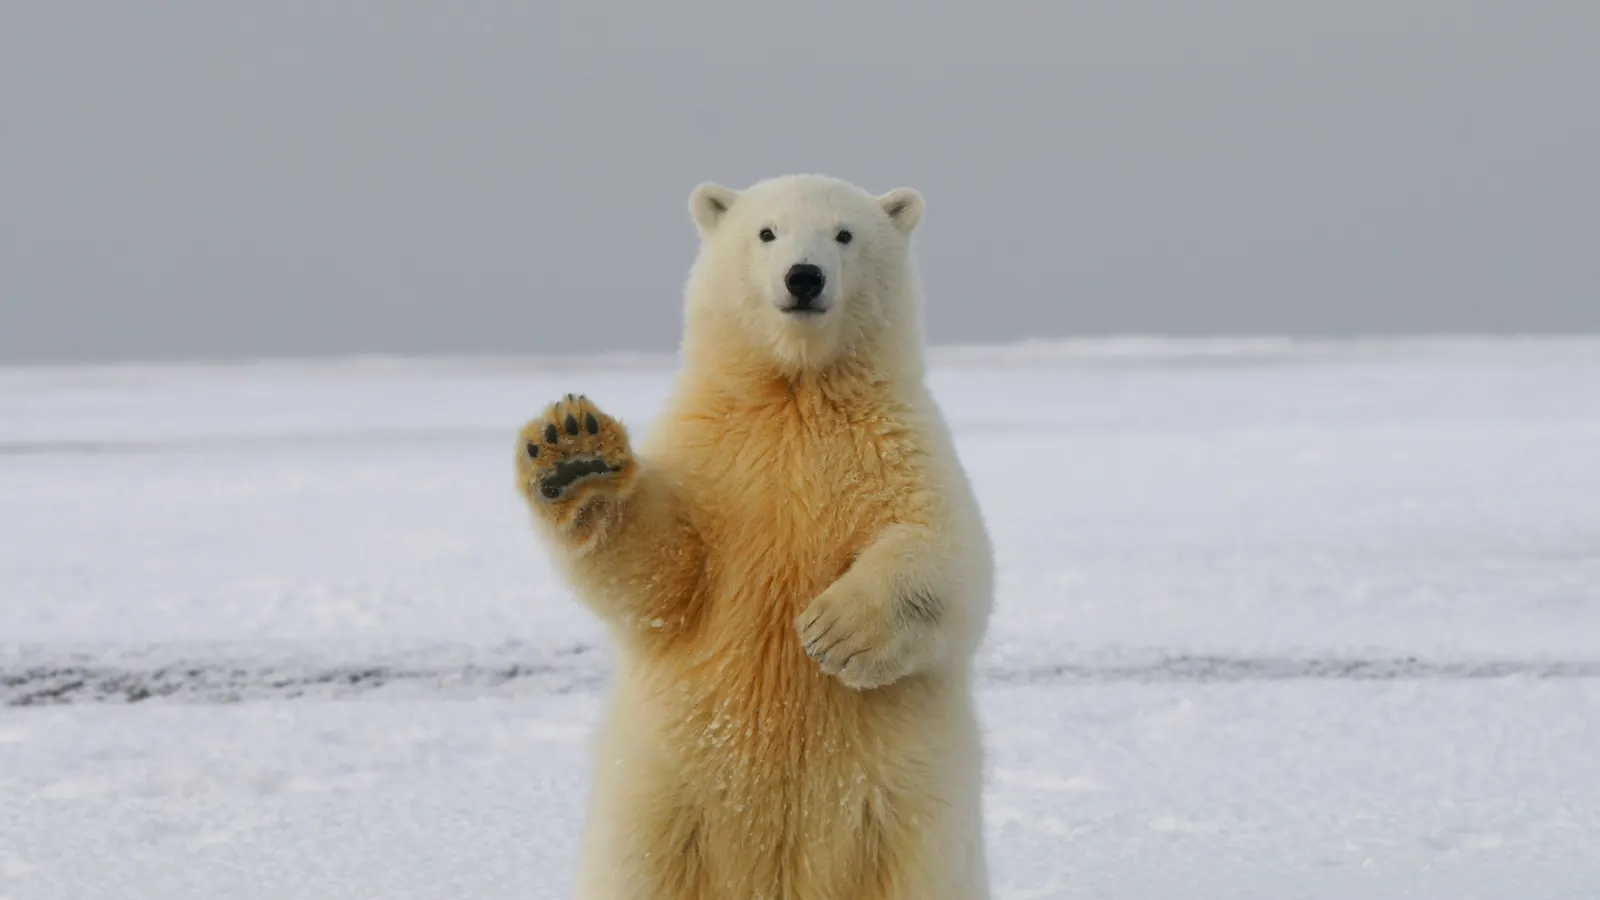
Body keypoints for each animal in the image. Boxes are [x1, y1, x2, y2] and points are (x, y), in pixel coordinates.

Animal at [513, 174, 994, 900]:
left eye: (844, 234)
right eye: (767, 232)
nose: (804, 276)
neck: (795, 392)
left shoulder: (898, 446)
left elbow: (949, 556)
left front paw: (833, 632)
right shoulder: (712, 456)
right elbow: (662, 573)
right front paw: (574, 452)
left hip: (907, 822)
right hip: (658, 806)